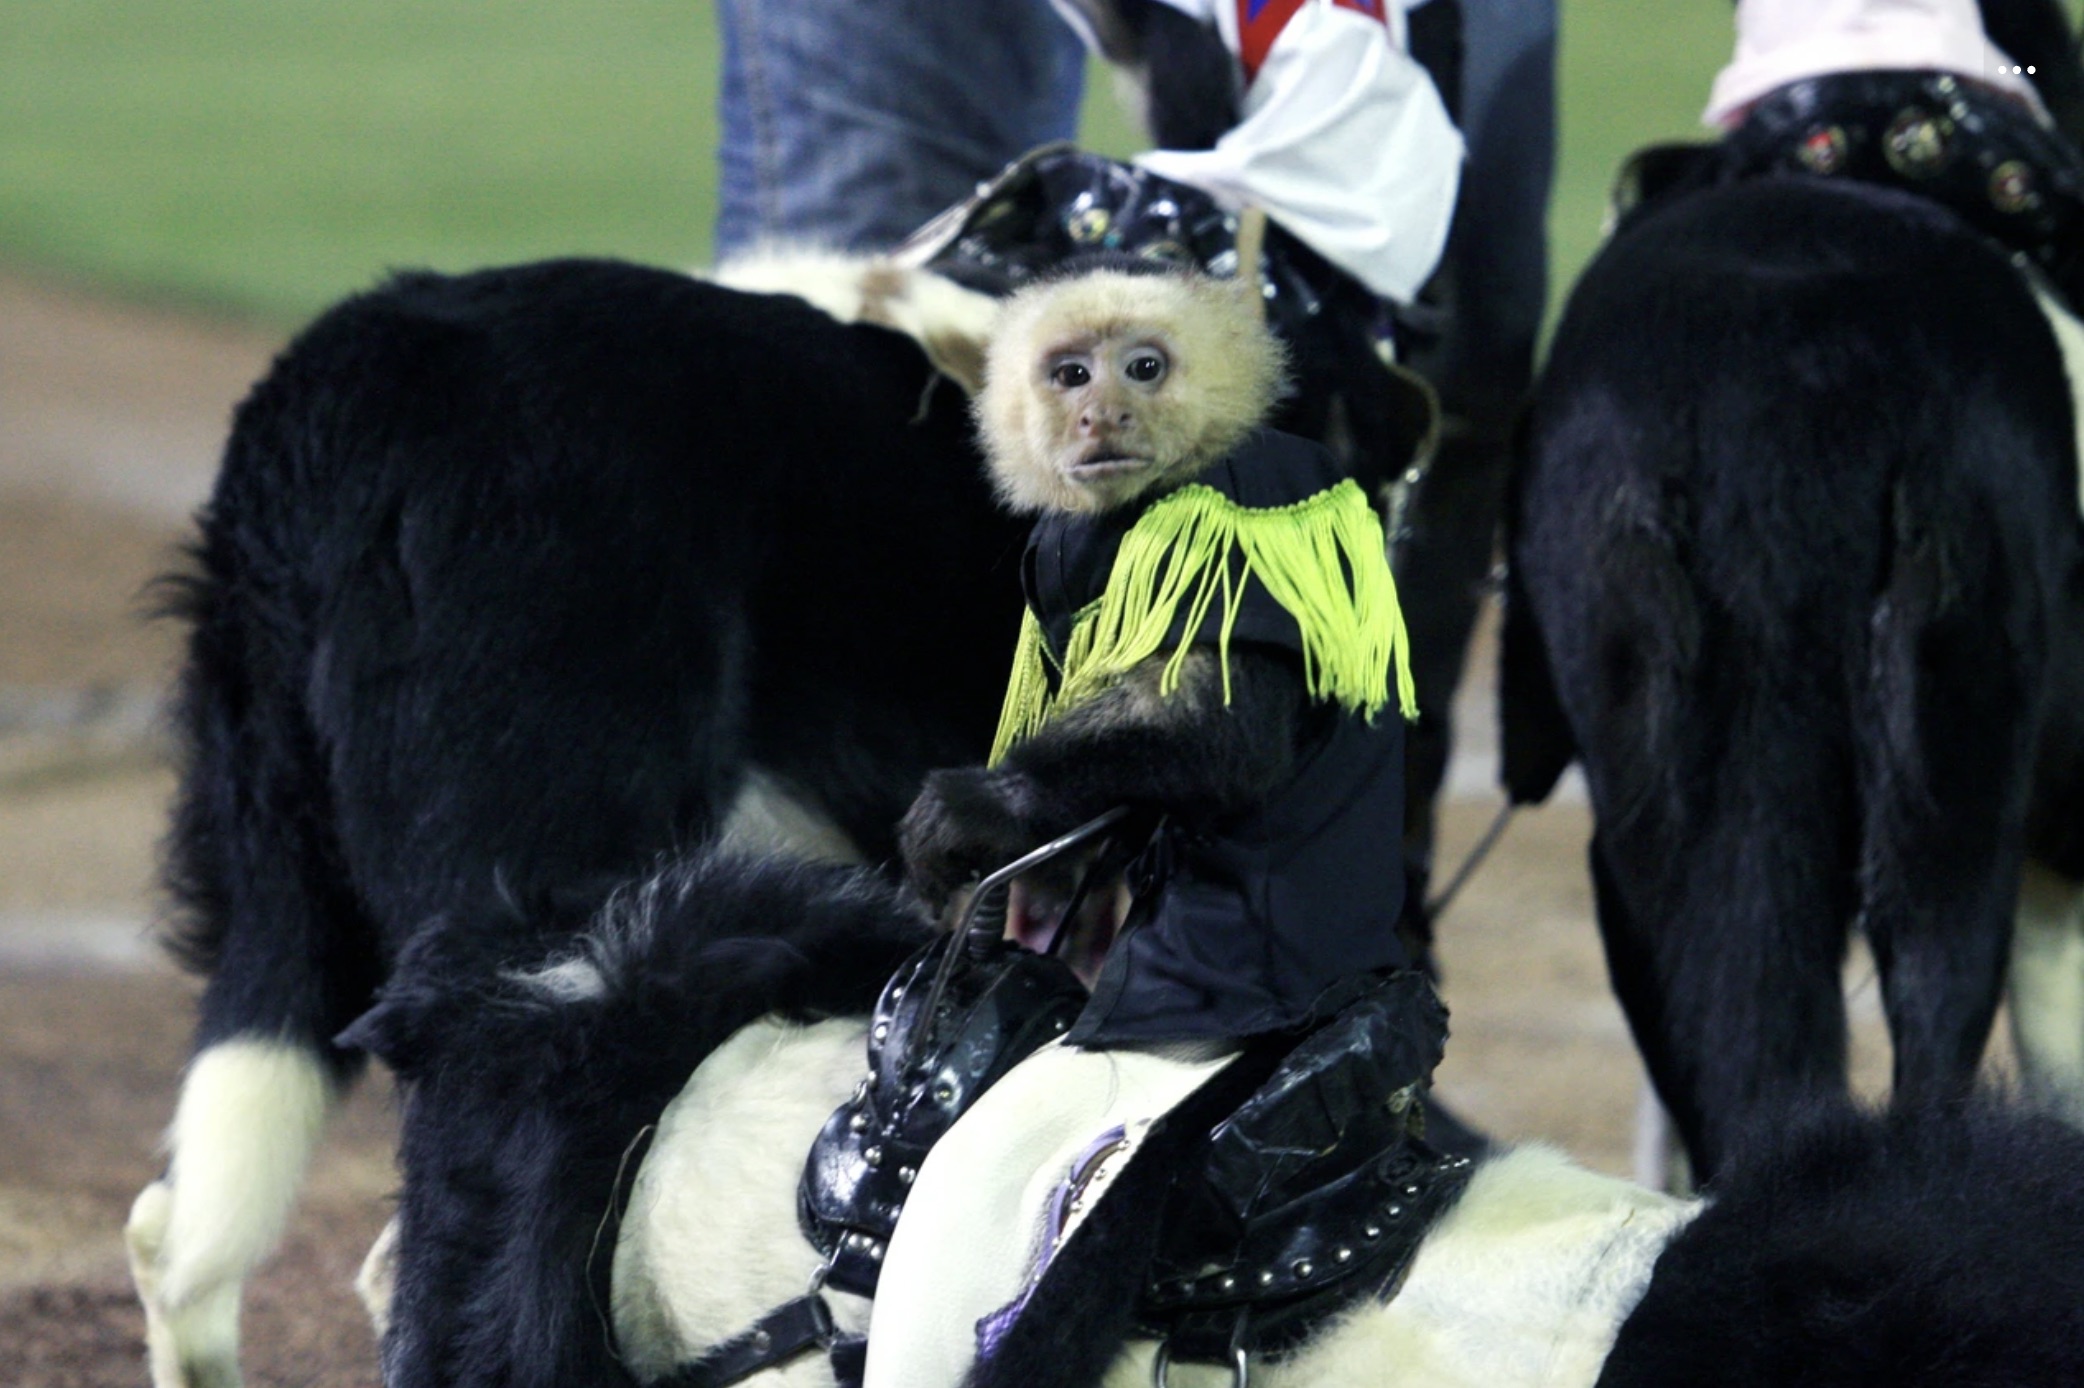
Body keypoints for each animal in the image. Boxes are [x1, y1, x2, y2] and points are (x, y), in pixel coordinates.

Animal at [896, 256, 1417, 1037]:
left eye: (1144, 368)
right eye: (1072, 375)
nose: (1102, 415)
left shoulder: (1229, 519)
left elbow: (1214, 724)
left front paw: (985, 810)